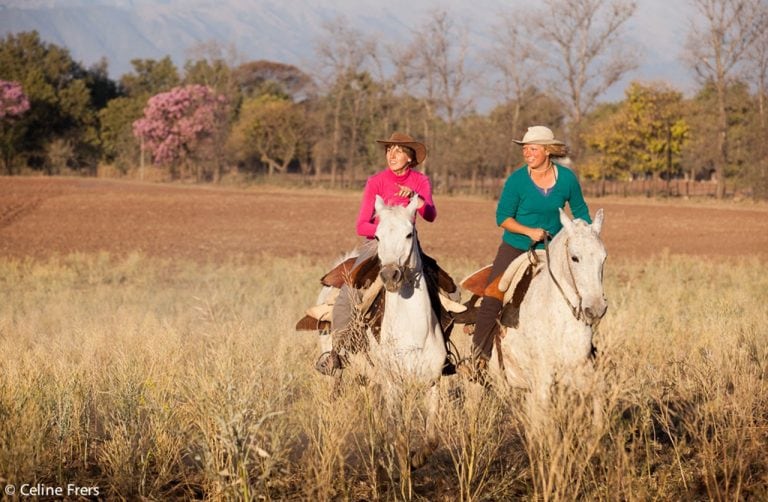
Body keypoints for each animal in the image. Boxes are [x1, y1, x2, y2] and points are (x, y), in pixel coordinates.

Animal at [492, 208, 608, 424]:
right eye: (574, 258)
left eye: (603, 258)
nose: (596, 308)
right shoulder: (543, 379)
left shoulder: (581, 370)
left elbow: (597, 395)